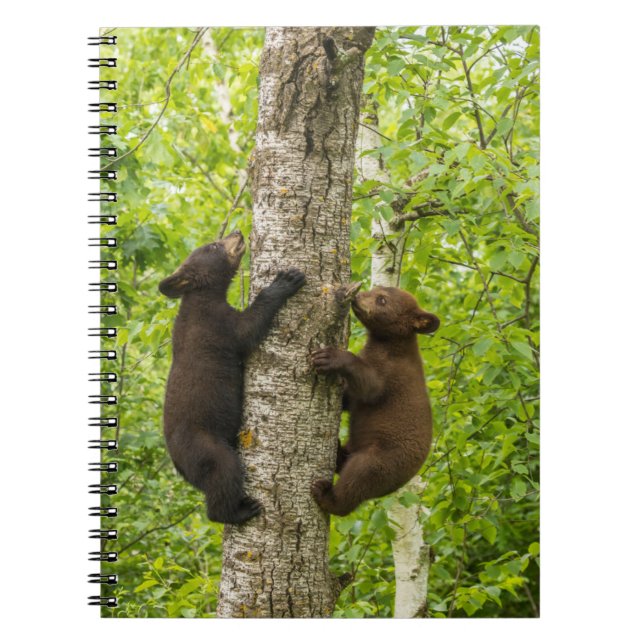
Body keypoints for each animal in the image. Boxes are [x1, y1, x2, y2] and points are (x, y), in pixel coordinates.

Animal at [159, 230, 305, 524]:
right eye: (213, 246)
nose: (237, 233)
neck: (201, 298)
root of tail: (179, 465)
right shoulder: (217, 325)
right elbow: (248, 329)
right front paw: (285, 281)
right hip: (205, 446)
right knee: (223, 472)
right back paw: (240, 511)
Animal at [310, 286, 440, 516]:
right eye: (376, 289)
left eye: (382, 300)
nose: (358, 295)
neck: (390, 345)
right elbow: (350, 398)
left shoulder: (393, 374)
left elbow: (370, 387)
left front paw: (330, 357)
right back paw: (339, 452)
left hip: (383, 460)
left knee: (358, 478)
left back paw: (326, 495)